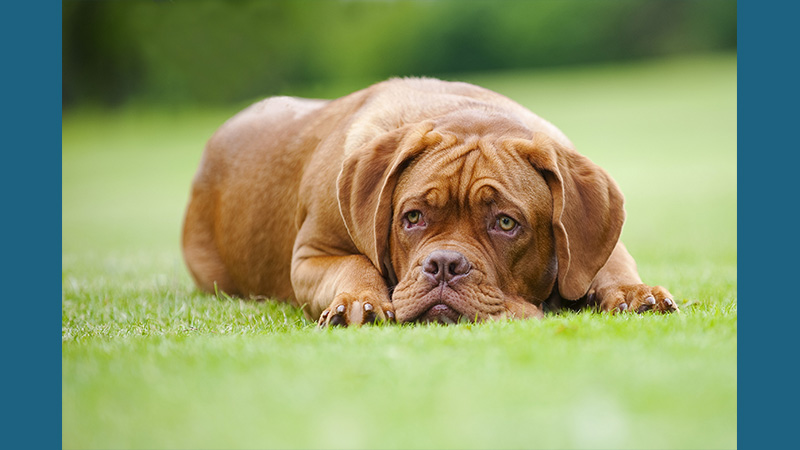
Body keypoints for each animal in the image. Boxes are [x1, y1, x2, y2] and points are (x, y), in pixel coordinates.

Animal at [183, 75, 680, 326]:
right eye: (413, 217)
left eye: (506, 223)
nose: (444, 265)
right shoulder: (312, 255)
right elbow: (354, 263)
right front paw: (358, 301)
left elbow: (609, 259)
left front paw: (633, 291)